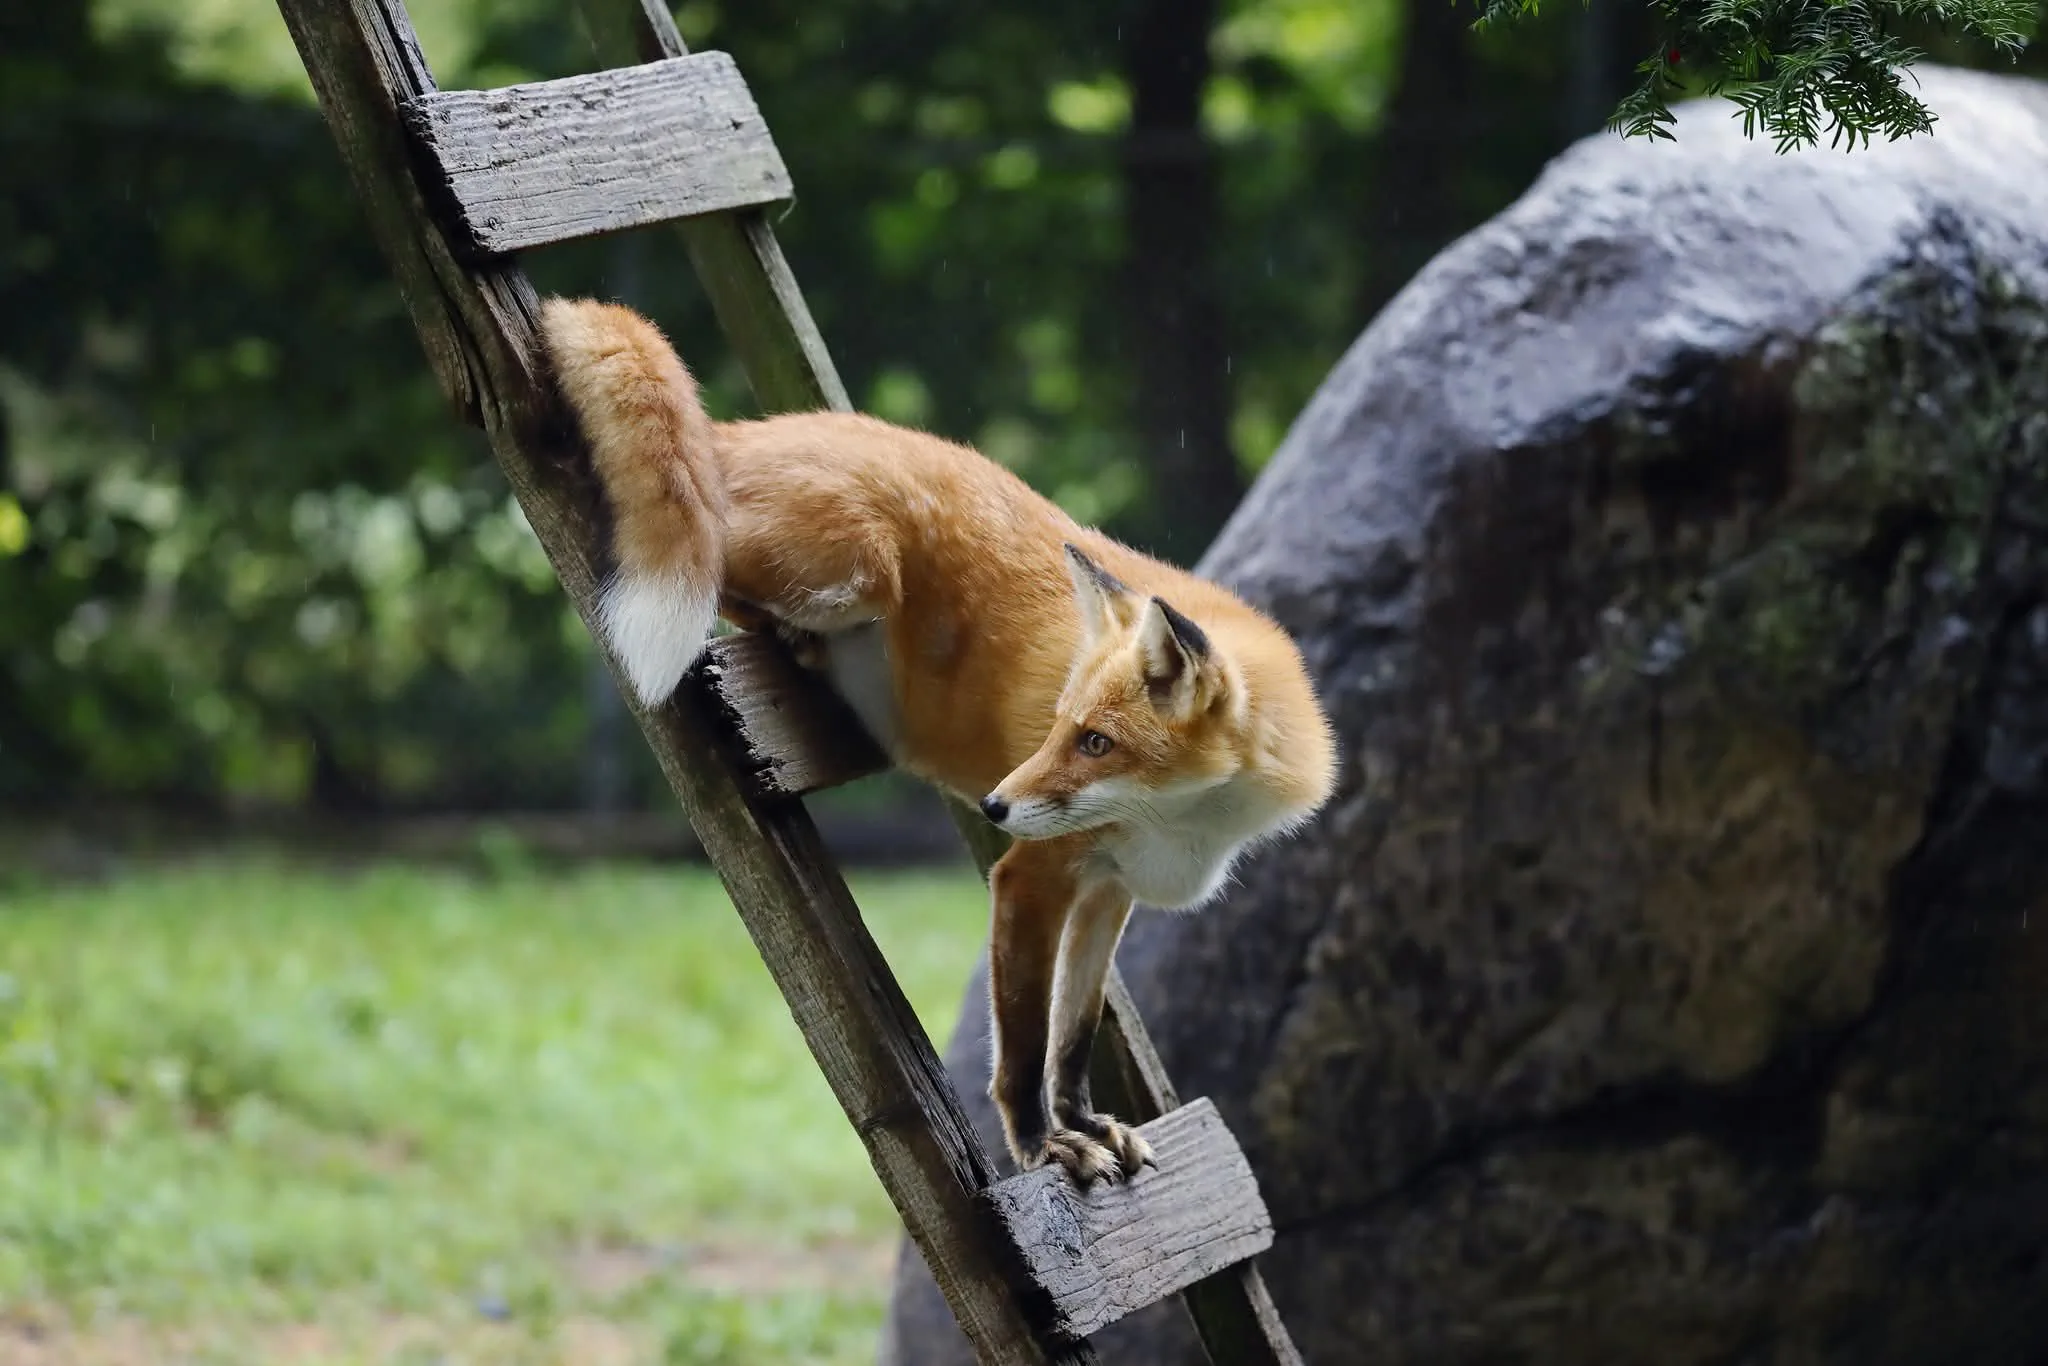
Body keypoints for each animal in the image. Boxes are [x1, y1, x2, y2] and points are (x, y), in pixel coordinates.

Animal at [538, 297, 1338, 1185]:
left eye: (1094, 742)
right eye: (1062, 728)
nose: (993, 805)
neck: (1185, 825)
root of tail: (742, 430)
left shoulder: (1106, 893)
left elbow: (1072, 1037)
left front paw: (1087, 1122)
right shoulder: (1029, 877)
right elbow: (1021, 1051)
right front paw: (1044, 1146)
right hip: (853, 569)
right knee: (712, 556)